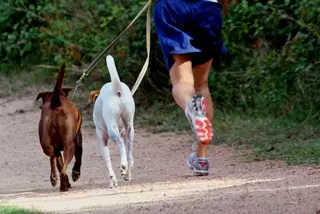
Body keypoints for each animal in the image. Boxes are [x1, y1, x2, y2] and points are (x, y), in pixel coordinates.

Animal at [35, 63, 83, 191]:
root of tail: (55, 103)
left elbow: (57, 162)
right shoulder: (78, 140)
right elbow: (79, 157)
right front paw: (76, 173)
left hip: (47, 144)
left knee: (54, 159)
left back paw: (55, 179)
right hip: (69, 146)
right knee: (63, 167)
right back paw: (63, 185)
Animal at [89, 54, 135, 187]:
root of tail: (117, 90)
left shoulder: (102, 140)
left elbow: (108, 164)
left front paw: (112, 181)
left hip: (112, 129)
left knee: (120, 144)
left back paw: (123, 167)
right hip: (130, 130)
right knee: (129, 154)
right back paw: (127, 173)